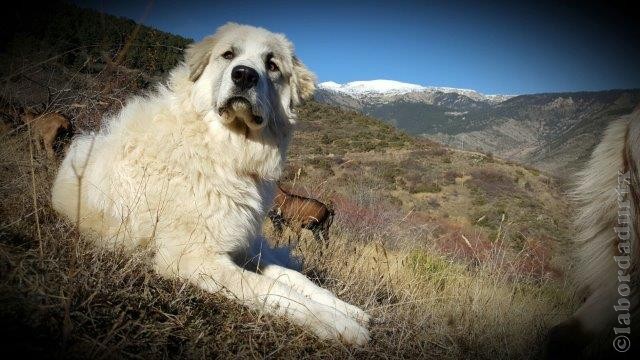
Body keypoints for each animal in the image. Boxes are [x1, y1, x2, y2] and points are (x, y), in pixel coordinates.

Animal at [53, 23, 372, 346]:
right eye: (228, 54)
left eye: (271, 65)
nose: (244, 75)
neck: (225, 148)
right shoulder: (192, 258)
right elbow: (269, 289)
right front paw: (337, 324)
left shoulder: (241, 246)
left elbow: (292, 279)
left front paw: (345, 312)